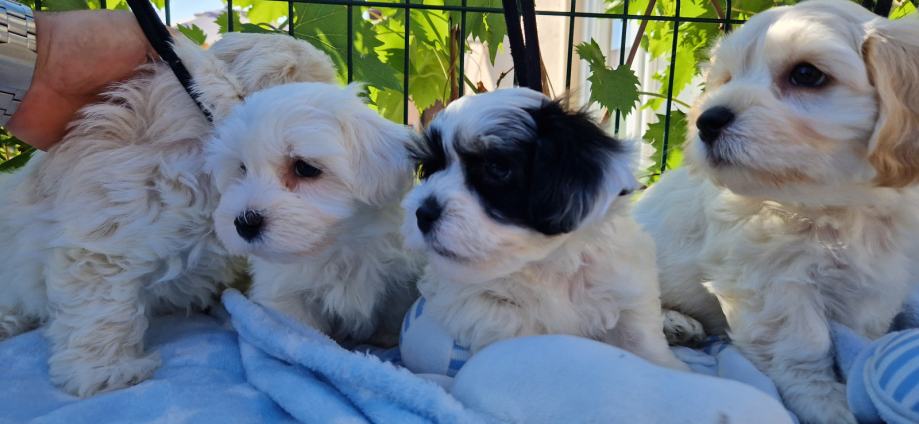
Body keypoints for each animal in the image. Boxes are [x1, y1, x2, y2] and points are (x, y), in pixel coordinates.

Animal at [208, 83, 420, 348]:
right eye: (242, 168)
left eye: (305, 168)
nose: (245, 224)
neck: (338, 247)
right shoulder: (286, 294)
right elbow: (301, 328)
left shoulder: (399, 285)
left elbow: (394, 312)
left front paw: (387, 339)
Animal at [402, 87, 688, 372]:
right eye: (430, 169)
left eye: (497, 168)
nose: (423, 214)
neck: (545, 264)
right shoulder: (475, 302)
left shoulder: (624, 286)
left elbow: (639, 335)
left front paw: (669, 368)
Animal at [636, 1, 919, 422]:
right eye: (728, 78)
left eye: (806, 74)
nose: (706, 120)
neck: (835, 205)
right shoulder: (772, 281)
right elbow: (804, 346)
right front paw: (828, 404)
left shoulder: (878, 279)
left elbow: (861, 332)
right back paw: (670, 321)